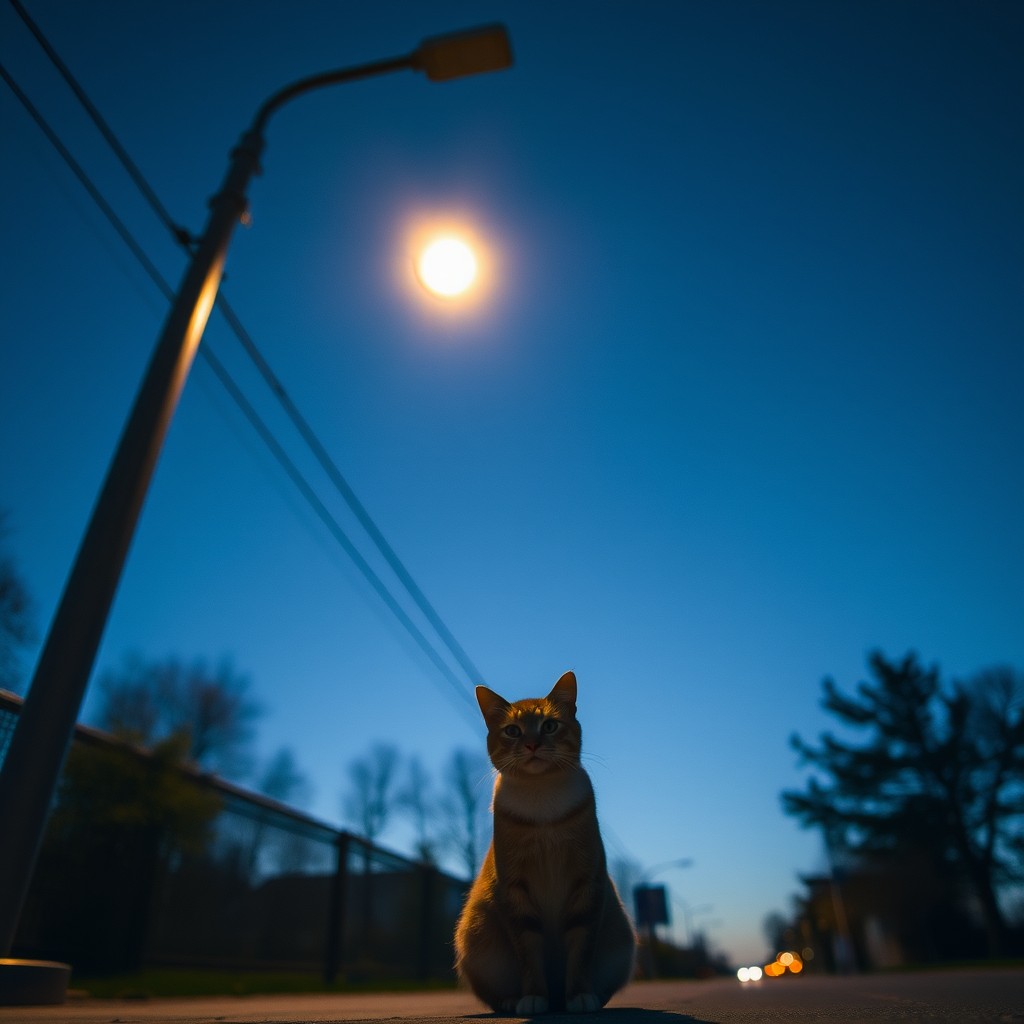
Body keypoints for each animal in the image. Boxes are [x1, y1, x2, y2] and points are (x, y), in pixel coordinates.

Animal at [454, 667, 630, 1011]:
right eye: (512, 731)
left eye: (549, 725)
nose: (532, 745)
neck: (542, 802)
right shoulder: (513, 890)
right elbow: (528, 952)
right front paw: (534, 996)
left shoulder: (586, 883)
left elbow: (580, 949)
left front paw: (580, 995)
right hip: (477, 943)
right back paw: (514, 1001)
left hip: (621, 945)